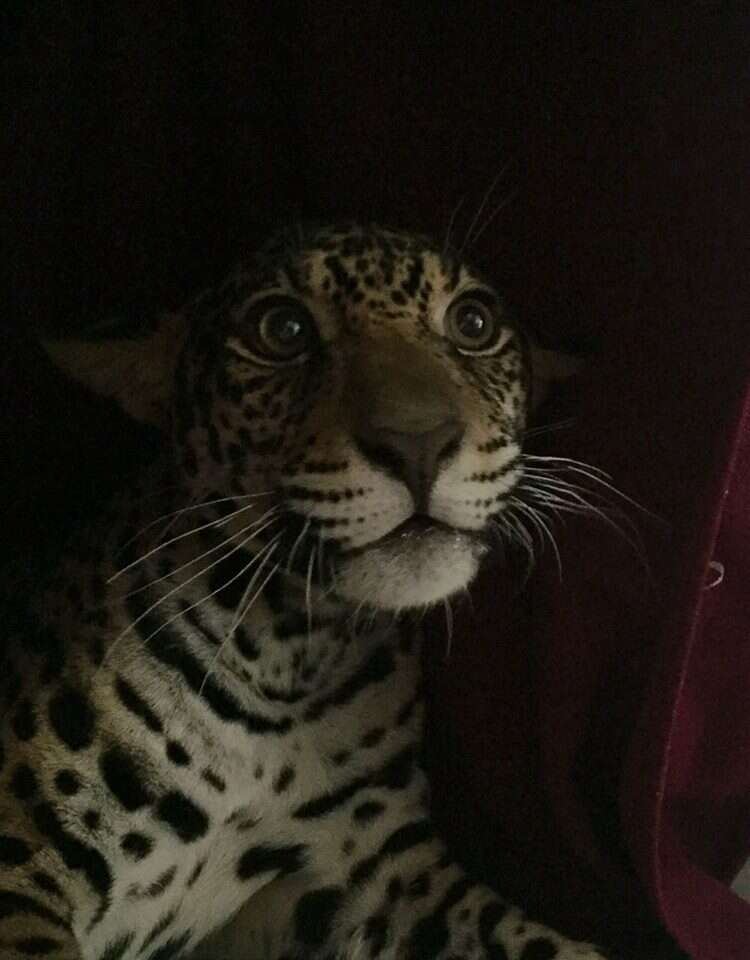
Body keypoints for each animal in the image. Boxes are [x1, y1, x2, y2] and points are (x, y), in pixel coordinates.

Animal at [0, 222, 612, 960]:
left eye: (474, 323)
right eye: (284, 330)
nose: (419, 442)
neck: (289, 666)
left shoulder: (377, 871)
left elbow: (525, 937)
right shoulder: (20, 866)